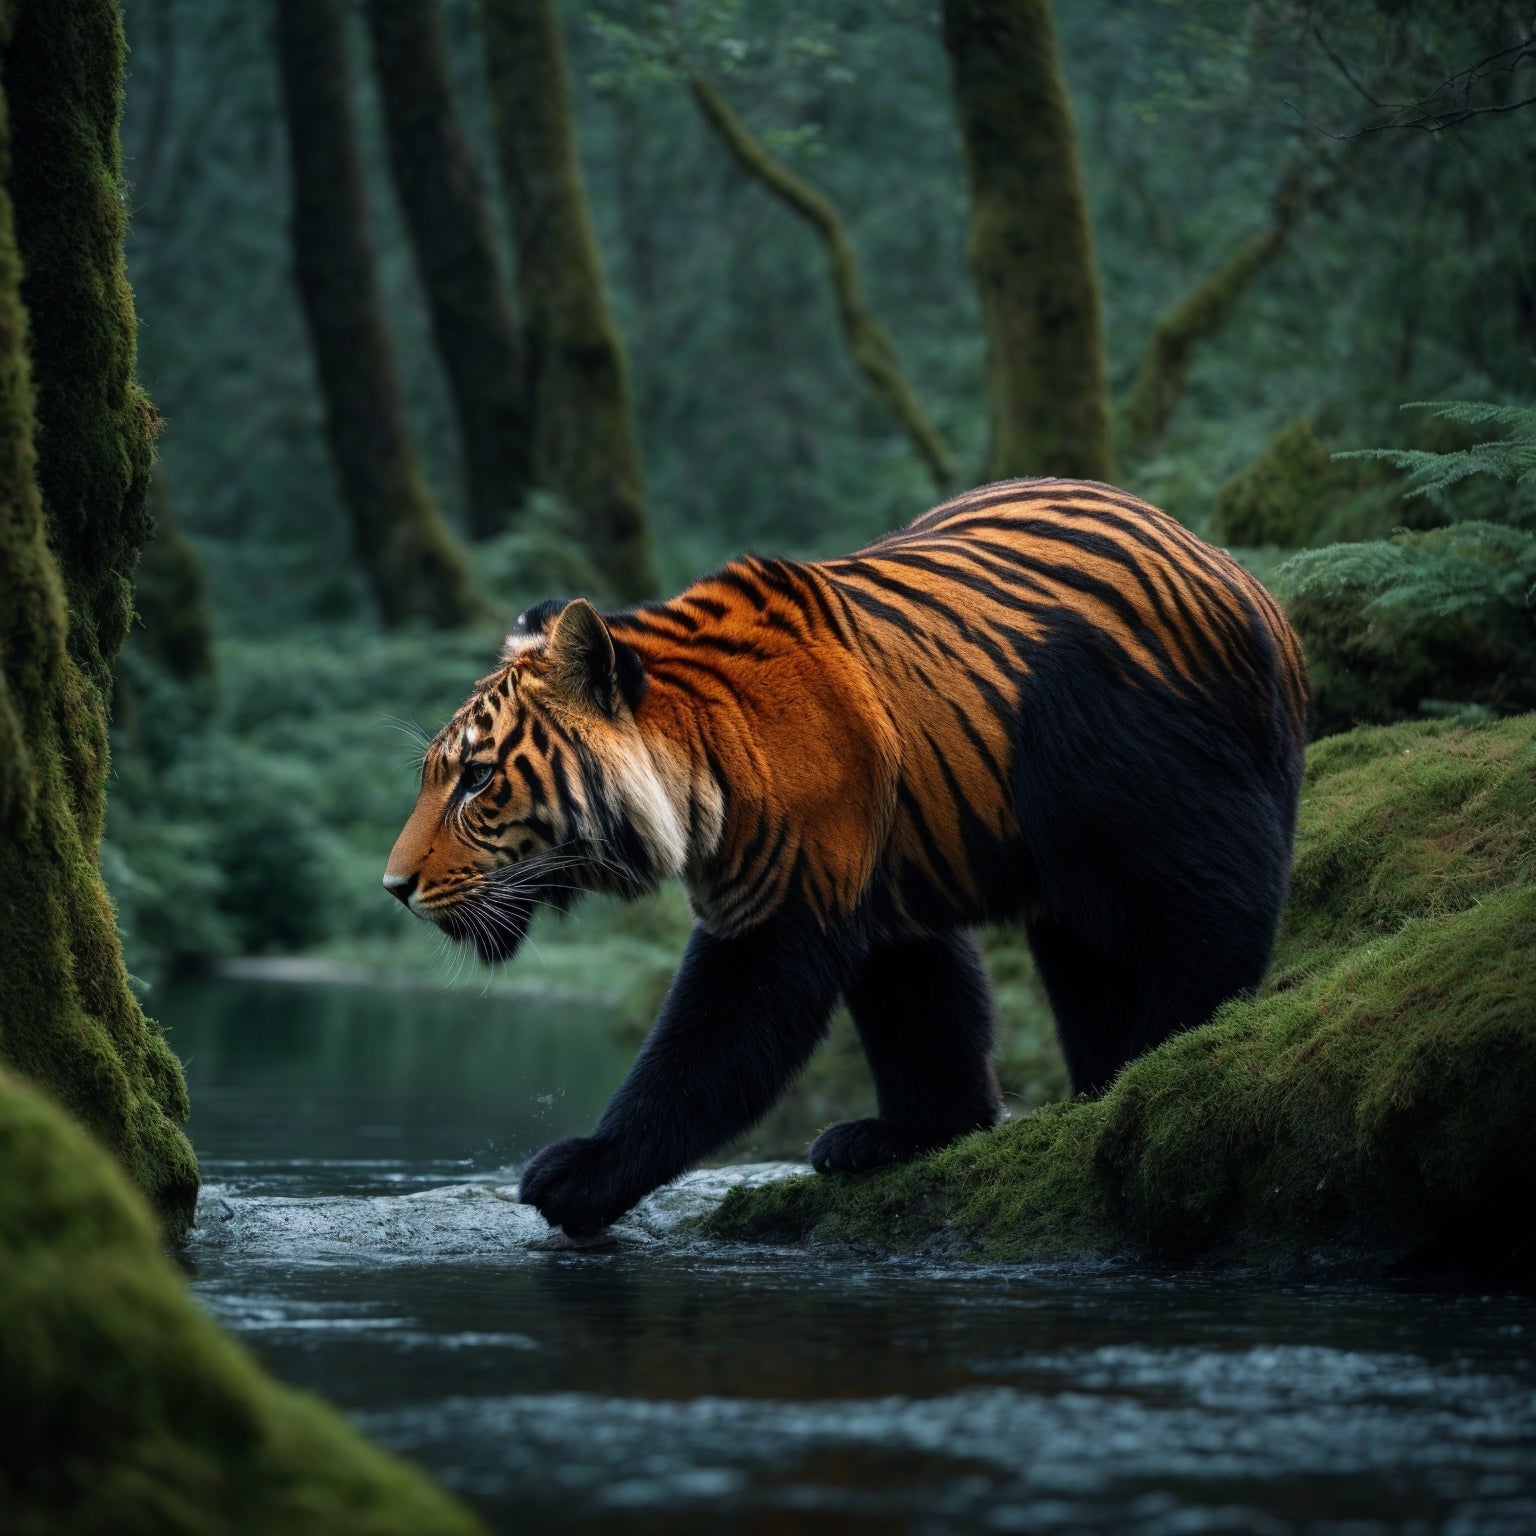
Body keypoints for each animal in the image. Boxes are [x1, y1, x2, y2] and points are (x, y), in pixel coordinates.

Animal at [385, 478, 1309, 1238]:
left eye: (476, 778)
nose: (394, 887)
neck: (700, 767)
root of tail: (1248, 584)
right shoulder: (887, 891)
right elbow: (928, 1017)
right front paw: (912, 1135)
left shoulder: (780, 904)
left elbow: (704, 1050)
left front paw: (582, 1175)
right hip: (1076, 900)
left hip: (1156, 811)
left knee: (1212, 930)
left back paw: (1146, 1079)